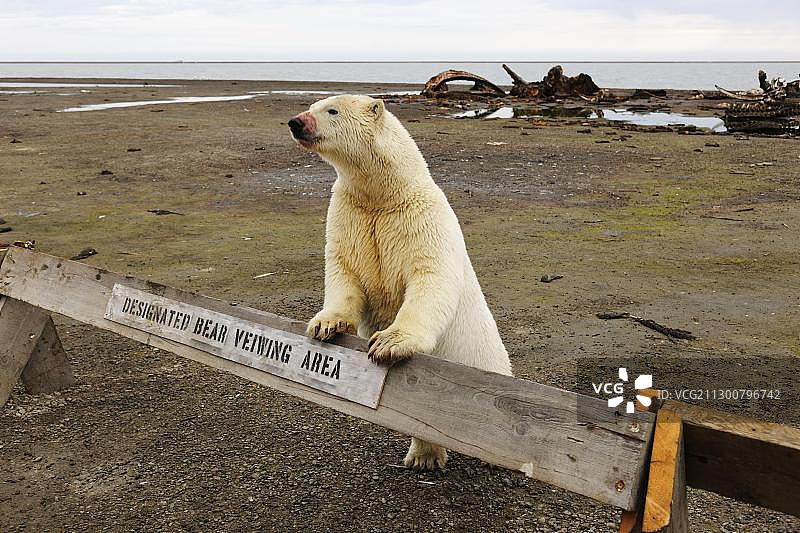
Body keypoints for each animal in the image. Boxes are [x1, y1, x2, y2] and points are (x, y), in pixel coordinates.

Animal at [288, 94, 512, 470]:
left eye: (331, 110)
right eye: (314, 104)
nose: (296, 122)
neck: (383, 196)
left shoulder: (421, 218)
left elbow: (430, 277)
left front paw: (389, 342)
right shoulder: (349, 214)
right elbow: (343, 269)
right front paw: (325, 325)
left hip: (483, 364)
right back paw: (424, 456)